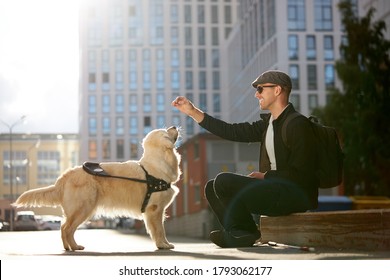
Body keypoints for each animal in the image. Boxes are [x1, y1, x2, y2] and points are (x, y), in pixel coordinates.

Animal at [13, 126, 181, 250]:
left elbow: (161, 229)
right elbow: (159, 230)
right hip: (83, 207)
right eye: (166, 131)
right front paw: (162, 245)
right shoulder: (154, 209)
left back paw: (69, 247)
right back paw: (75, 247)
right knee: (66, 228)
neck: (157, 164)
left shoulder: (157, 210)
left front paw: (165, 244)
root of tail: (64, 176)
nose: (174, 126)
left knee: (63, 227)